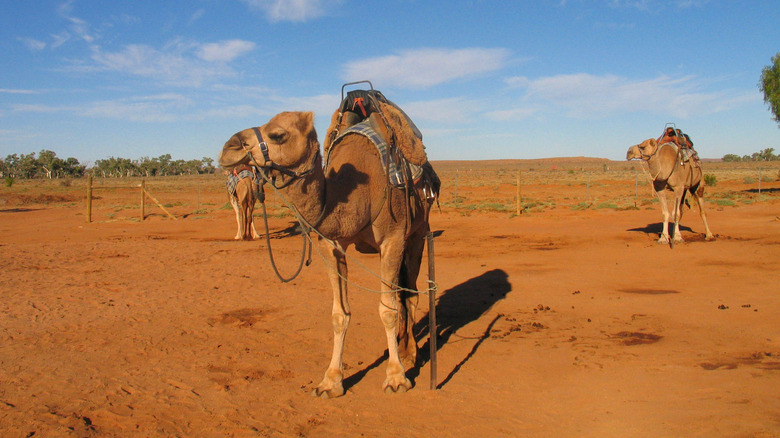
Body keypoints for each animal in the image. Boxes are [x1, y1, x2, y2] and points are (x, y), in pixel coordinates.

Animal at [219, 110, 438, 396]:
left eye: (278, 134)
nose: (229, 148)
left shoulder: (393, 237)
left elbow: (387, 310)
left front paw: (396, 377)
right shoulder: (331, 245)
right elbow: (339, 314)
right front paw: (331, 381)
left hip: (417, 234)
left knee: (410, 293)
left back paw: (411, 354)